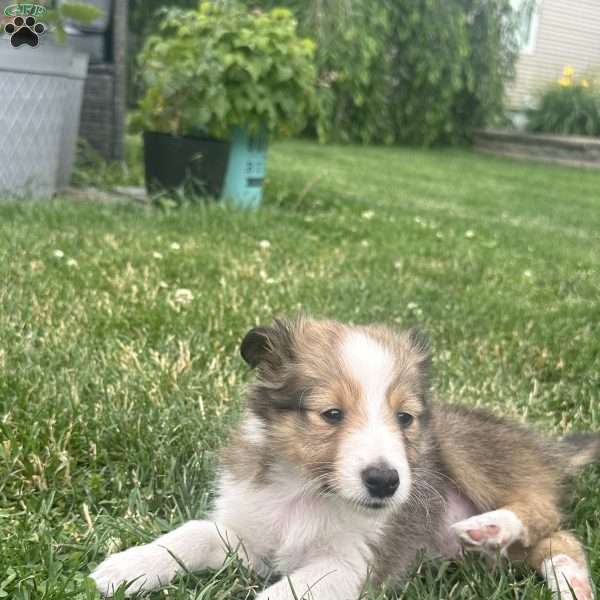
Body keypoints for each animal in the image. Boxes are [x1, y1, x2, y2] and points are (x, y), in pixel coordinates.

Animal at [91, 316, 596, 596]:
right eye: (331, 414)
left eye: (405, 418)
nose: (386, 483)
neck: (306, 492)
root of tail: (547, 448)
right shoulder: (246, 532)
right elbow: (189, 536)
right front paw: (121, 571)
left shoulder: (353, 564)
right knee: (557, 542)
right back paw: (571, 583)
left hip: (462, 446)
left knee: (548, 516)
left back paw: (492, 527)